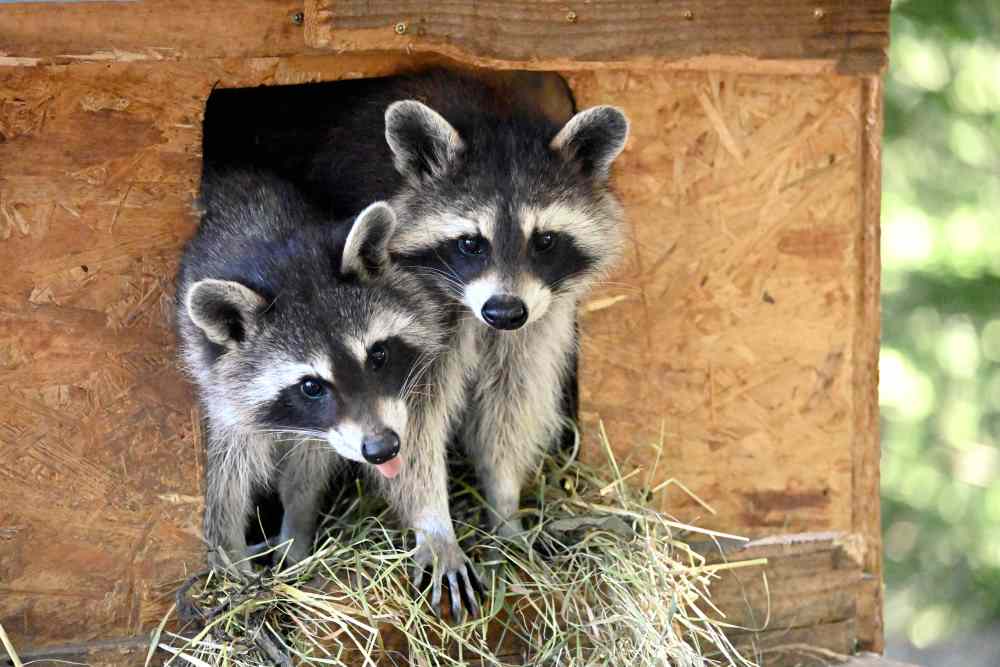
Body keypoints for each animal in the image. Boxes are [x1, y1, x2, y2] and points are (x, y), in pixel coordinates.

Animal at [173, 168, 476, 604]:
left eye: (378, 355)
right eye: (311, 386)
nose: (383, 448)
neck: (271, 244)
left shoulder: (327, 433)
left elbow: (306, 475)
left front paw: (296, 537)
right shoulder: (220, 393)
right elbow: (224, 486)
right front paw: (230, 565)